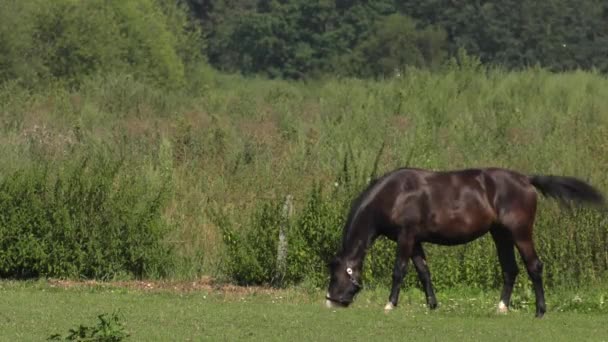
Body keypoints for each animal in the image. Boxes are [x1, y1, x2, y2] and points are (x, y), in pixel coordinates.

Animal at [324, 167, 604, 316]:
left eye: (336, 276)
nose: (330, 301)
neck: (396, 194)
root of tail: (526, 179)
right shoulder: (415, 240)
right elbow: (423, 271)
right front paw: (432, 304)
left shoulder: (406, 237)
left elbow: (399, 271)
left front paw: (390, 304)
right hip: (500, 235)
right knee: (510, 269)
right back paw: (501, 307)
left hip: (520, 233)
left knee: (534, 266)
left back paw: (540, 311)